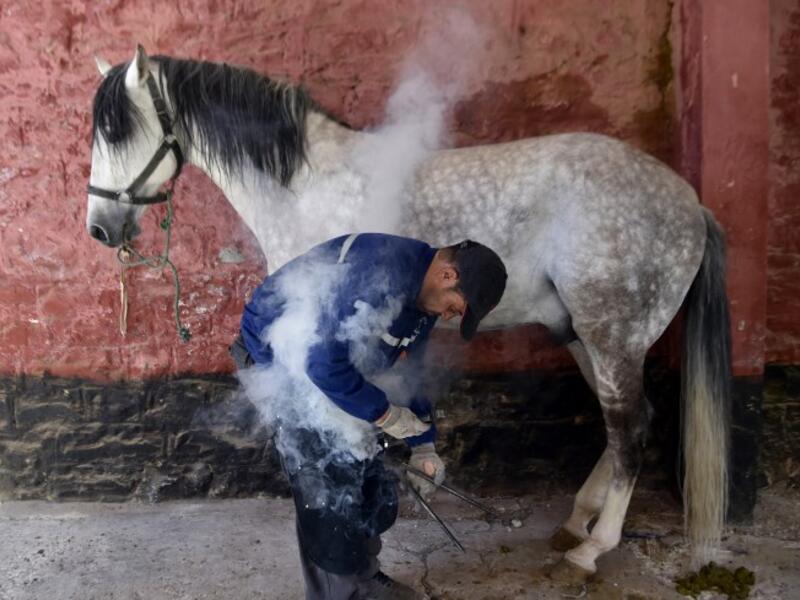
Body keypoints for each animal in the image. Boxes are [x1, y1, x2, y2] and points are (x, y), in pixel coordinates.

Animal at [86, 46, 731, 581]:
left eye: (117, 130)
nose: (100, 229)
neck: (306, 186)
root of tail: (691, 203)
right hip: (581, 336)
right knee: (621, 424)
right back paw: (577, 522)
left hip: (613, 336)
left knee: (631, 429)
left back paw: (593, 548)